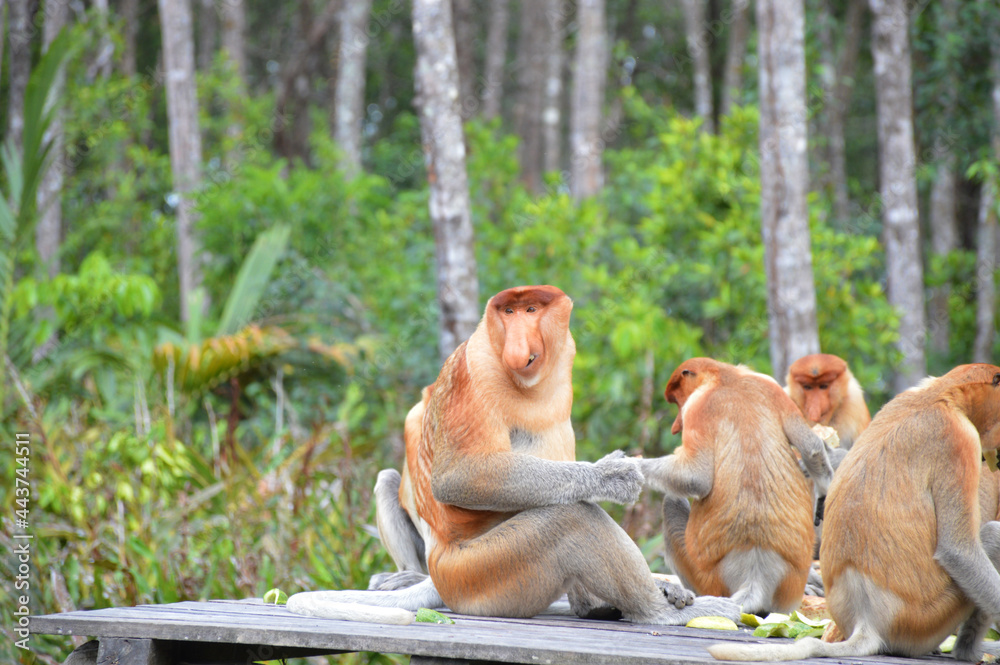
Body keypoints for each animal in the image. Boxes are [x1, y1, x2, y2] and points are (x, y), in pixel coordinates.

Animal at [288, 286, 739, 624]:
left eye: (532, 309)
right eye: (509, 312)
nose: (519, 344)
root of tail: (438, 570)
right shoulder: (477, 369)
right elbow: (459, 477)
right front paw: (612, 476)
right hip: (480, 574)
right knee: (569, 519)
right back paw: (661, 612)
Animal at [639, 358, 835, 616]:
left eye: (677, 399)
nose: (675, 425)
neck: (725, 378)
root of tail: (756, 573)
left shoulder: (697, 407)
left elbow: (695, 477)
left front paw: (627, 466)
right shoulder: (773, 387)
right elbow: (811, 447)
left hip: (704, 574)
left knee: (672, 500)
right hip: (789, 583)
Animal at [708, 364, 1000, 662]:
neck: (940, 394)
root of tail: (867, 619)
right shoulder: (959, 439)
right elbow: (958, 551)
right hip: (924, 619)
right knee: (991, 536)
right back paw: (966, 652)